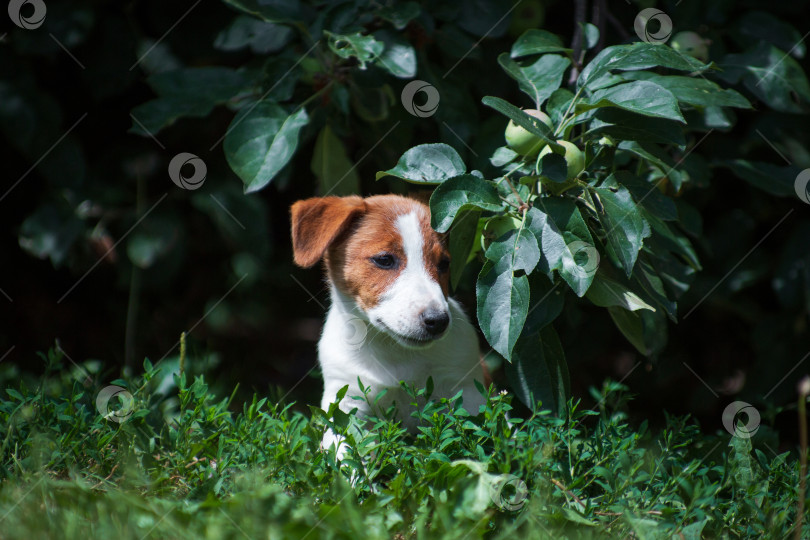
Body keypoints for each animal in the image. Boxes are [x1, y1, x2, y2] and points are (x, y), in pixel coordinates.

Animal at [288, 194, 482, 456]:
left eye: (444, 264)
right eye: (384, 260)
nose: (438, 321)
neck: (395, 351)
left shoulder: (466, 394)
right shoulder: (346, 403)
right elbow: (345, 456)